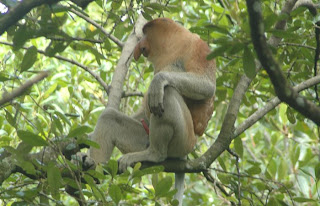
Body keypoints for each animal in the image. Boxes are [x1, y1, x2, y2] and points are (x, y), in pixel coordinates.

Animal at [89, 18, 216, 206]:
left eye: (146, 33)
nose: (139, 44)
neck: (173, 45)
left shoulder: (198, 48)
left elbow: (206, 85)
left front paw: (158, 81)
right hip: (145, 135)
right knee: (109, 118)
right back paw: (89, 169)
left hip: (184, 141)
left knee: (167, 92)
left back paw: (154, 154)